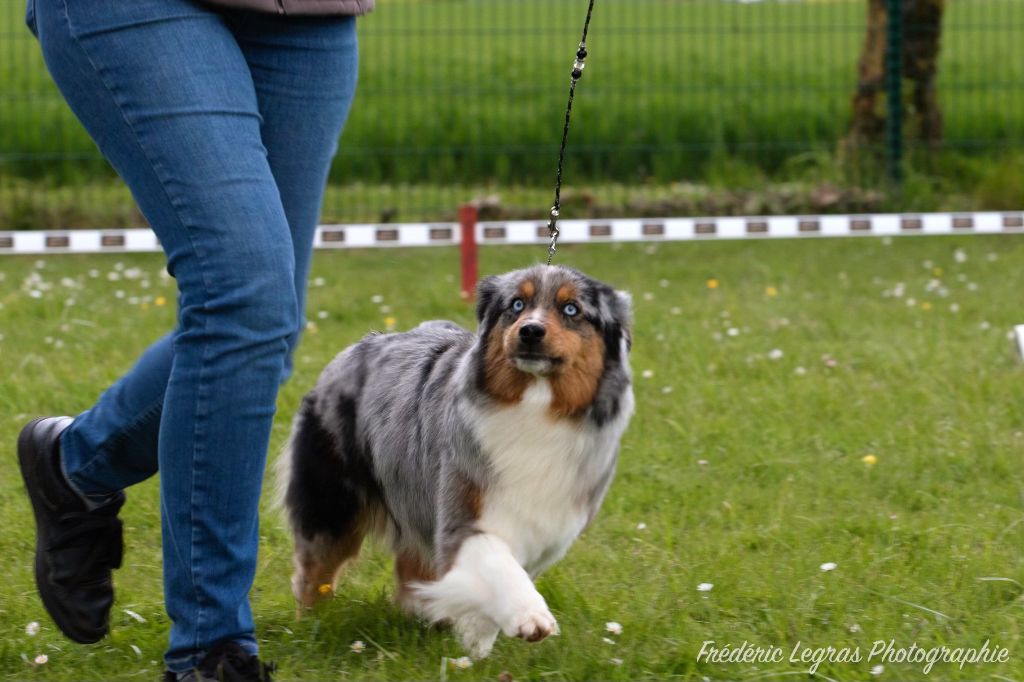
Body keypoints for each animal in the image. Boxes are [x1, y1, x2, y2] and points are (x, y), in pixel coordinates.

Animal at [278, 262, 630, 655]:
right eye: (517, 304)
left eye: (571, 309)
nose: (530, 331)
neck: (535, 407)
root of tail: (359, 345)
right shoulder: (460, 510)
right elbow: (497, 564)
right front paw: (528, 617)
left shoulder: (546, 528)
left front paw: (475, 640)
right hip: (333, 502)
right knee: (316, 569)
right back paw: (311, 628)